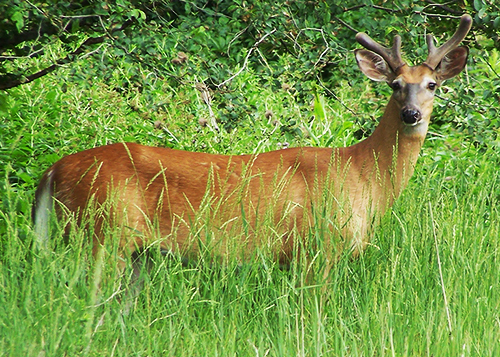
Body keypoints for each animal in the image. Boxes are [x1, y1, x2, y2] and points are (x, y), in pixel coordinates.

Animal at [32, 14, 472, 278]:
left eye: (432, 84)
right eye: (395, 85)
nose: (411, 115)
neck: (362, 175)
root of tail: (53, 170)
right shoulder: (317, 248)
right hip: (103, 232)